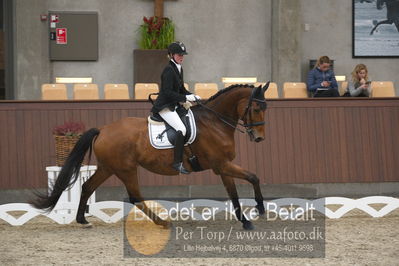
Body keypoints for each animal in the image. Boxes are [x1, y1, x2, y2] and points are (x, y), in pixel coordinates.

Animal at [30, 83, 268, 231]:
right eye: (256, 108)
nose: (259, 138)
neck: (215, 122)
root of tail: (103, 130)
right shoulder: (221, 164)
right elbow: (253, 177)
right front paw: (260, 210)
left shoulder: (223, 166)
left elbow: (234, 193)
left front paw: (246, 221)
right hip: (125, 169)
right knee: (135, 197)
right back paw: (163, 223)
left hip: (108, 168)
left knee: (88, 186)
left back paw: (82, 220)